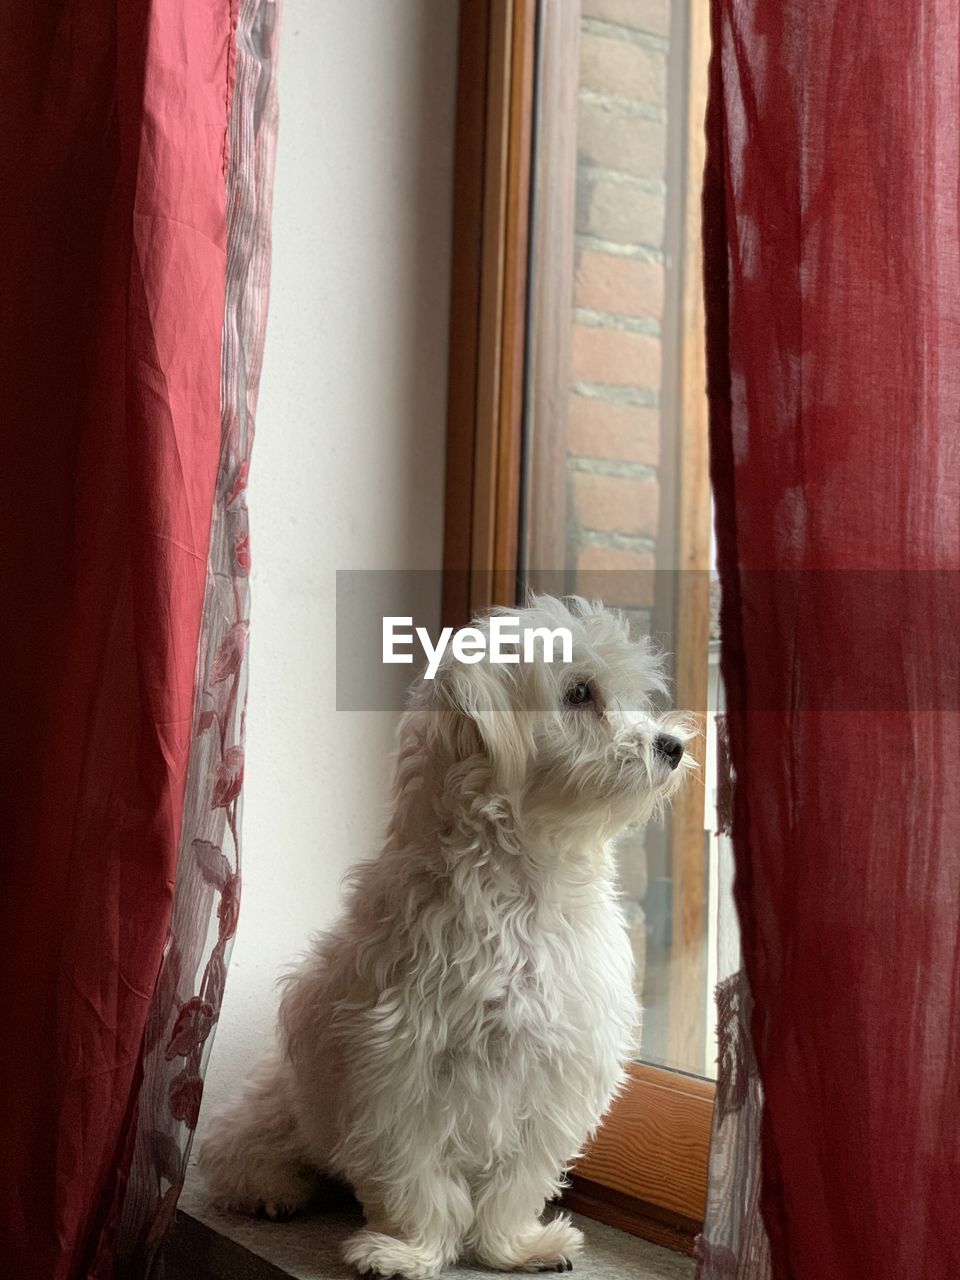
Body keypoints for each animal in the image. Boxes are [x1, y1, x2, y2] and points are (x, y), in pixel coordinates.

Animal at [203, 599, 696, 1280]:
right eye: (578, 692)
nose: (671, 745)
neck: (522, 892)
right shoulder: (396, 1067)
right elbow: (414, 1178)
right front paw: (407, 1250)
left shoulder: (556, 1071)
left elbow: (518, 1178)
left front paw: (514, 1246)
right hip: (278, 1110)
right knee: (238, 1147)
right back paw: (270, 1189)